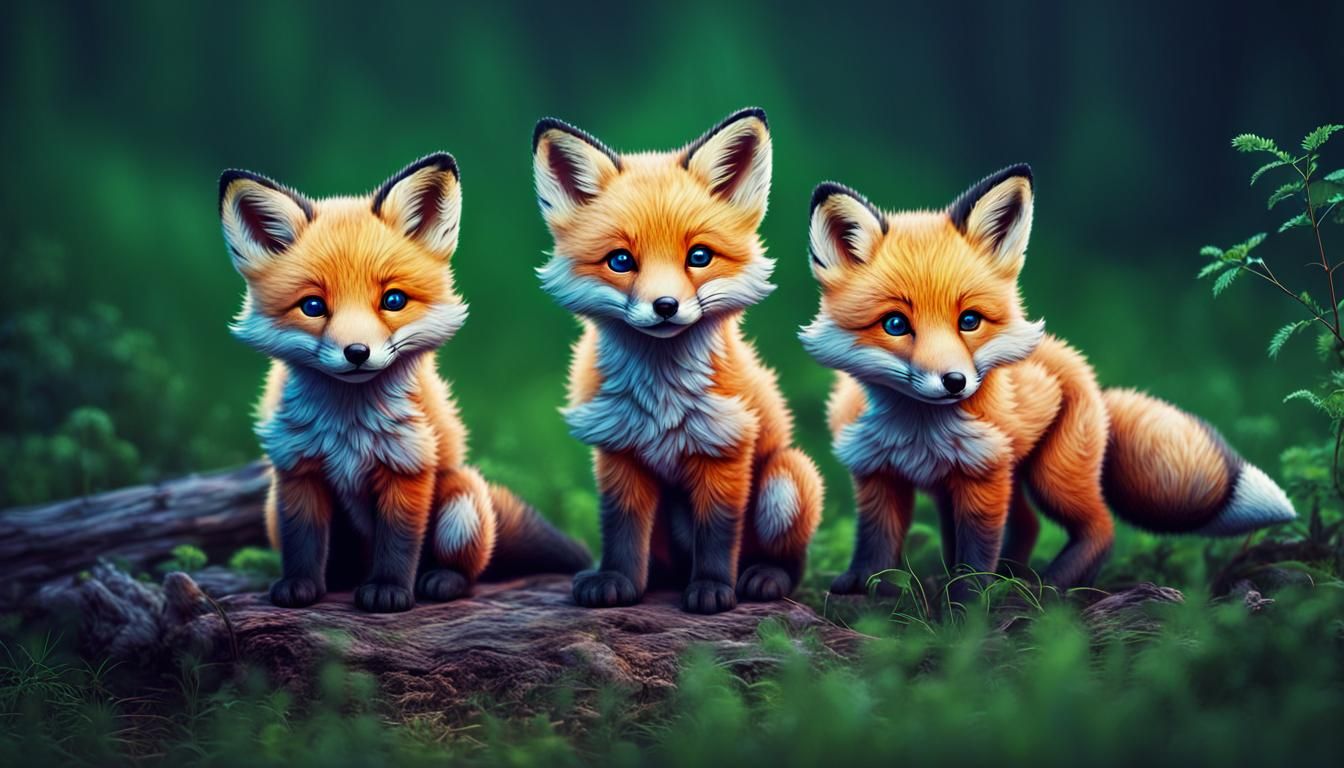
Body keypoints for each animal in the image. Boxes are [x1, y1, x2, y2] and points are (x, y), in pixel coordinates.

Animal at [220, 153, 591, 613]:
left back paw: (440, 581)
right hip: (274, 507)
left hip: (462, 502)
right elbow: (302, 542)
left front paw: (388, 591)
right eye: (313, 306)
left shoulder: (408, 465)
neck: (349, 427)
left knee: (468, 569)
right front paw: (299, 586)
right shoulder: (296, 469)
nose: (357, 352)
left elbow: (398, 543)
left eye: (393, 300)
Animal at [531, 107, 824, 614]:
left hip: (788, 480)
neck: (661, 396)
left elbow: (718, 535)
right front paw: (617, 582)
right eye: (621, 261)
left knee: (791, 559)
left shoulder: (726, 446)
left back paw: (765, 577)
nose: (665, 306)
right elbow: (622, 531)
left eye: (699, 256)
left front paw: (711, 590)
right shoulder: (618, 449)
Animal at [800, 164, 1296, 601]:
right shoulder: (877, 470)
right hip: (982, 478)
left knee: (1100, 527)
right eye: (896, 324)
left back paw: (1046, 585)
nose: (955, 382)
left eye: (969, 320)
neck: (917, 428)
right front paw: (868, 587)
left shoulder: (983, 476)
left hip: (1051, 476)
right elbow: (876, 542)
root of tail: (1092, 379)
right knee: (1028, 525)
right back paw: (1010, 577)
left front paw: (966, 600)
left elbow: (975, 551)